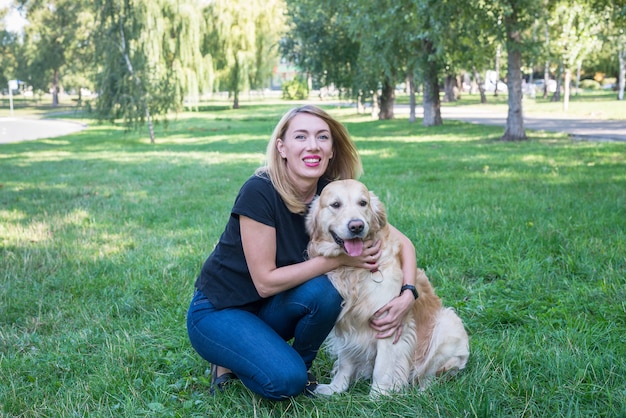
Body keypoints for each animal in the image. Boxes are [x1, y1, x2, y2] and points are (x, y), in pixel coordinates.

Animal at [304, 178, 466, 396]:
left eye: (363, 203)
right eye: (335, 205)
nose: (356, 226)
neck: (354, 272)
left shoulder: (389, 323)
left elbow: (382, 367)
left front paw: (378, 397)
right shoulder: (349, 323)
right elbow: (345, 362)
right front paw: (336, 389)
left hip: (447, 325)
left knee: (431, 374)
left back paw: (422, 390)